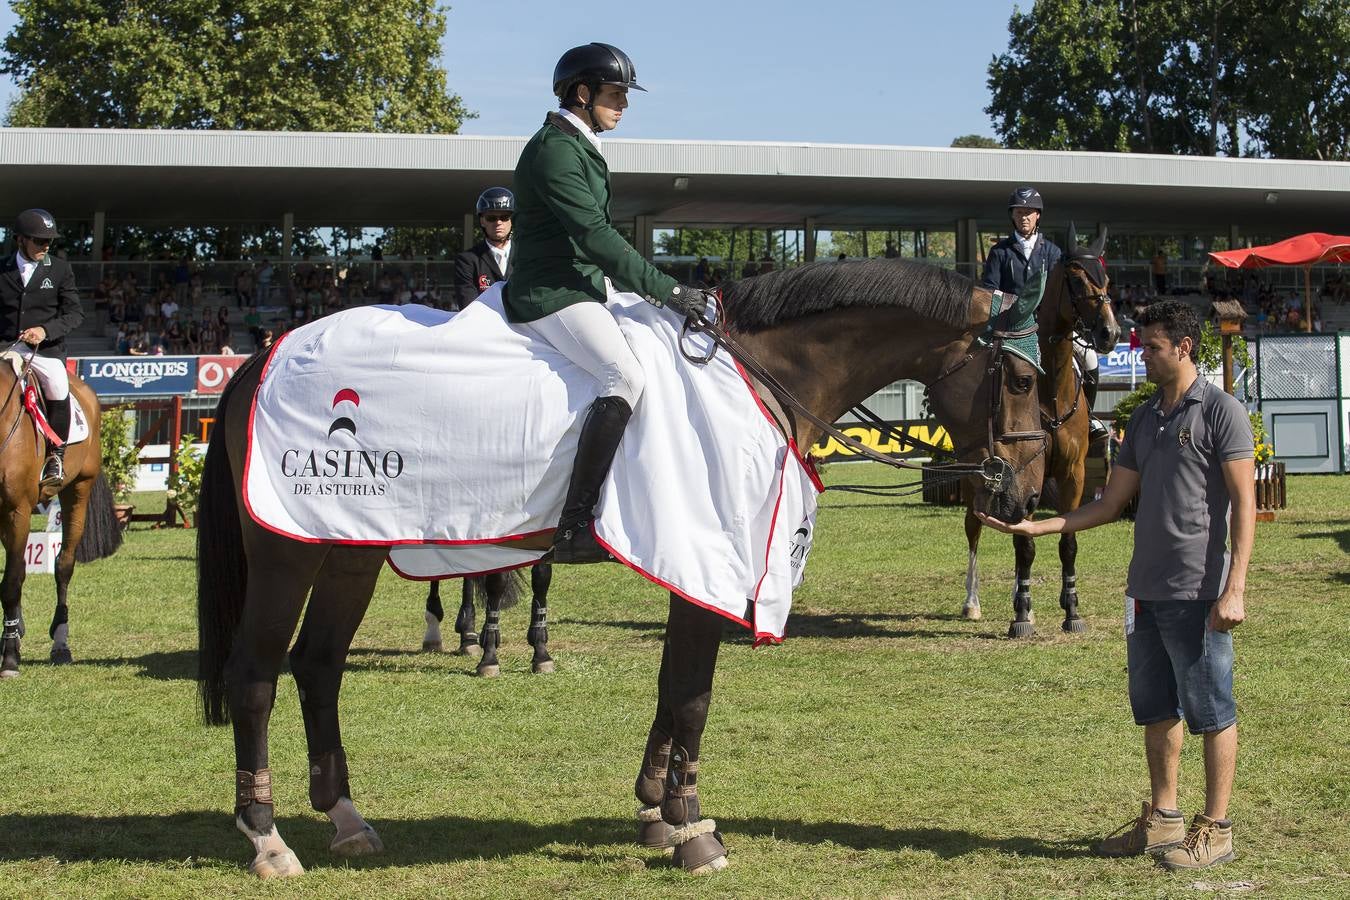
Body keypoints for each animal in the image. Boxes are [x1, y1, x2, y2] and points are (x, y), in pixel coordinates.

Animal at [0, 361, 121, 680]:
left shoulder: (17, 510)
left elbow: (11, 583)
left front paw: (9, 659)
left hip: (77, 491)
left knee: (64, 565)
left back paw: (60, 643)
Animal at [195, 259, 1047, 879]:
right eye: (1023, 379)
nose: (1025, 492)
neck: (760, 373)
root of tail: (260, 357)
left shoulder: (691, 564)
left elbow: (673, 688)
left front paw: (656, 815)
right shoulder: (708, 557)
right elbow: (694, 696)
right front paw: (692, 830)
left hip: (347, 552)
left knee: (318, 666)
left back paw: (344, 818)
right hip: (288, 553)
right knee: (256, 676)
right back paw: (268, 840)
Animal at [961, 232, 1128, 639]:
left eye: (1106, 280)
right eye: (1077, 280)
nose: (1110, 334)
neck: (1048, 392)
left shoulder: (1072, 474)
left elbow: (1066, 541)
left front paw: (1071, 611)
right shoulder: (1022, 474)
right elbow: (1023, 546)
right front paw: (1021, 615)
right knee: (974, 527)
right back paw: (972, 603)